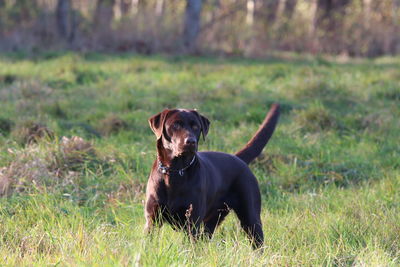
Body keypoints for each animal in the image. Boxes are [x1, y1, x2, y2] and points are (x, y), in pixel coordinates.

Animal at [145, 103, 280, 248]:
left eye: (195, 126)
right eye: (175, 125)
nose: (191, 141)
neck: (176, 171)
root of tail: (238, 158)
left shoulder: (192, 222)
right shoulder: (152, 219)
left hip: (250, 217)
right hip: (212, 221)